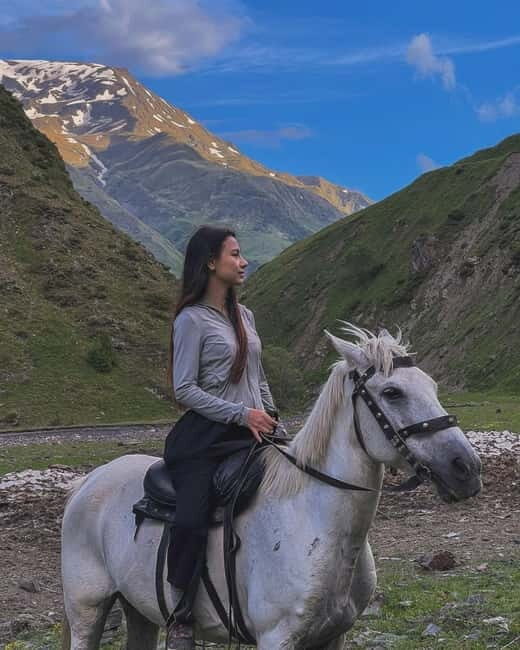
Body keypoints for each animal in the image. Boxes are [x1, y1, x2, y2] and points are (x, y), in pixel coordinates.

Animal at [61, 323, 481, 649]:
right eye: (392, 392)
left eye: (432, 385)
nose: (466, 468)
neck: (313, 521)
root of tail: (89, 480)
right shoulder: (276, 637)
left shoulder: (334, 636)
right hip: (87, 609)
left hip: (139, 609)